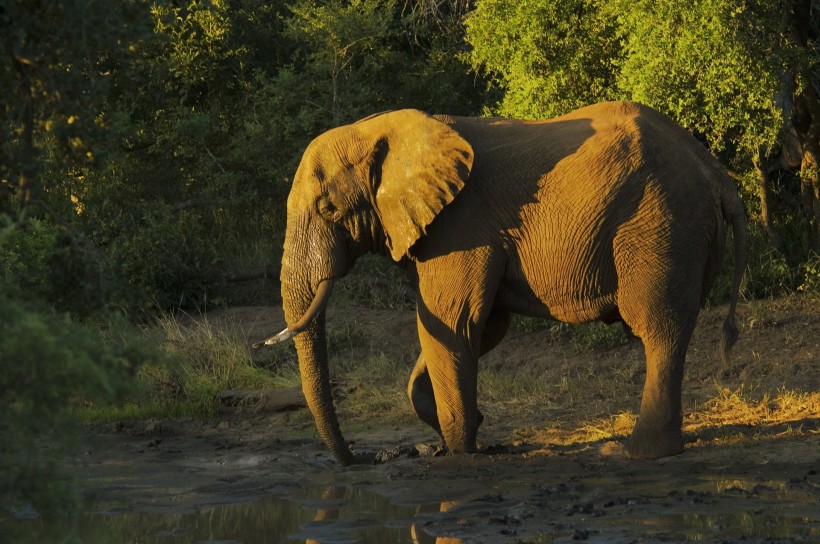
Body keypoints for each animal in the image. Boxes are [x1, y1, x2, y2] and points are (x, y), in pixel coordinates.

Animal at [260, 101, 748, 464]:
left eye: (328, 209)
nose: (363, 458)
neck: (388, 131)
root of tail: (717, 174)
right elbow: (481, 328)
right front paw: (460, 433)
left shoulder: (460, 226)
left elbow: (454, 323)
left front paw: (462, 452)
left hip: (661, 226)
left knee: (657, 327)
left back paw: (636, 453)